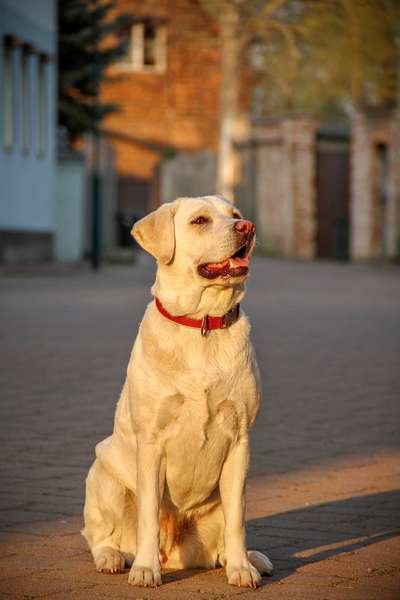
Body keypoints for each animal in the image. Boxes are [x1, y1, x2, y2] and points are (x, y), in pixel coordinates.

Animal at [83, 196, 274, 584]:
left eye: (235, 215)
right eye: (199, 221)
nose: (247, 227)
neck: (202, 323)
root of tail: (174, 555)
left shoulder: (240, 441)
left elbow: (238, 521)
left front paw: (241, 569)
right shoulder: (151, 442)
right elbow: (149, 515)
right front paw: (145, 569)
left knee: (225, 537)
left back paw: (248, 558)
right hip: (104, 475)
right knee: (100, 535)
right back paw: (113, 557)